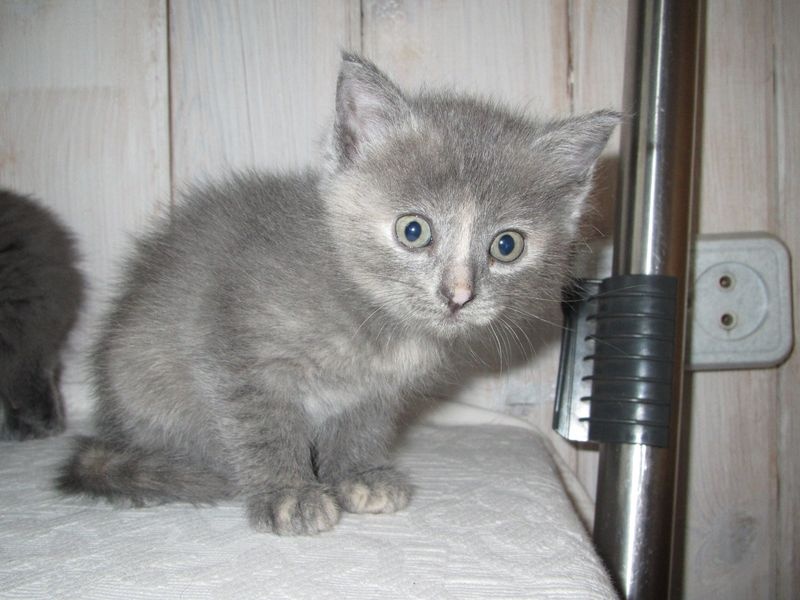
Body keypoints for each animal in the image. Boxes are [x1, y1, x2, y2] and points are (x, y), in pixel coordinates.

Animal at [57, 54, 617, 535]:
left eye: (507, 245)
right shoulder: (234, 342)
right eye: (413, 231)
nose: (458, 294)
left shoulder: (376, 392)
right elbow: (262, 423)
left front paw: (355, 476)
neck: (374, 318)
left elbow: (360, 428)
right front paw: (288, 492)